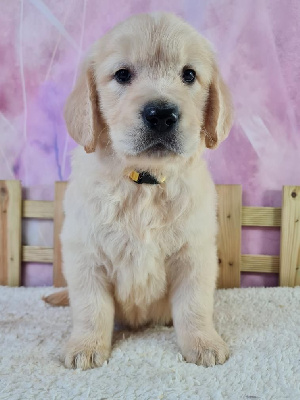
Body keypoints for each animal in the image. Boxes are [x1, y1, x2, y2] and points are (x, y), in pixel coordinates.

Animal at [46, 11, 232, 368]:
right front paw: (86, 346)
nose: (161, 114)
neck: (144, 182)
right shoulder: (84, 253)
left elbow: (194, 306)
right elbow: (91, 307)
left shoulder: (195, 253)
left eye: (189, 74)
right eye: (122, 74)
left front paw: (203, 343)